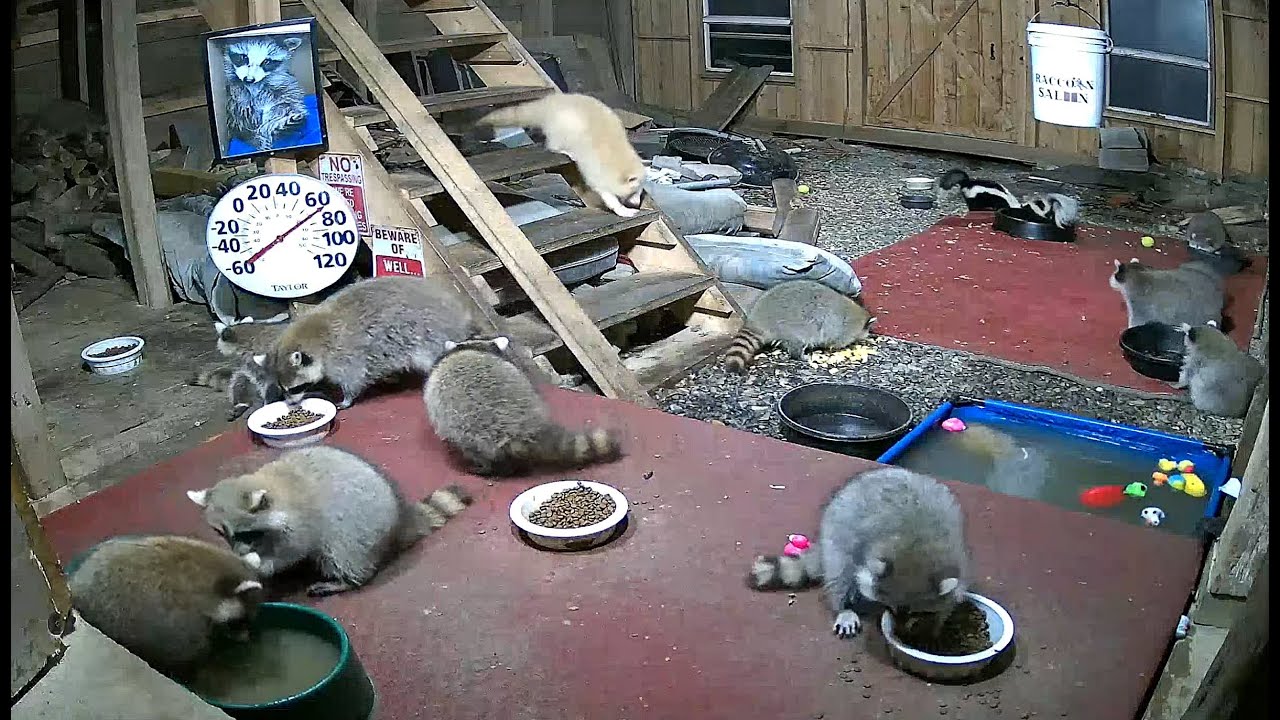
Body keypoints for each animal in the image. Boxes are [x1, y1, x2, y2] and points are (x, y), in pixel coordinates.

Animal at [188, 445, 472, 596]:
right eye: (222, 533)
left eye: (244, 533)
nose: (238, 551)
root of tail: (400, 519)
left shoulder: (301, 521)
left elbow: (293, 551)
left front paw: (264, 564)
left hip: (356, 534)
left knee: (341, 555)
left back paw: (344, 581)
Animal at [257, 275, 484, 408]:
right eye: (282, 389)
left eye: (294, 389)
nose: (291, 405)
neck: (315, 337)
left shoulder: (343, 356)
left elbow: (353, 379)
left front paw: (347, 399)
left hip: (429, 335)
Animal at [476, 93, 646, 218]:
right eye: (634, 191)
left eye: (640, 191)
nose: (636, 203)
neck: (621, 159)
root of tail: (550, 103)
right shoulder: (596, 171)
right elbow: (605, 194)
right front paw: (621, 208)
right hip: (560, 125)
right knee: (555, 141)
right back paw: (563, 150)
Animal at [723, 280, 876, 373]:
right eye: (868, 329)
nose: (869, 336)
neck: (856, 314)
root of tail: (759, 318)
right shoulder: (842, 329)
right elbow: (837, 341)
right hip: (794, 328)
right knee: (797, 344)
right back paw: (800, 355)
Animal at [748, 467, 970, 641]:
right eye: (892, 608)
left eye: (913, 611)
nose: (897, 633)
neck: (917, 548)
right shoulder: (869, 553)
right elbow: (856, 577)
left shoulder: (957, 555)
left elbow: (955, 593)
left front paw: (938, 621)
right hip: (835, 534)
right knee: (840, 571)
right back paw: (842, 606)